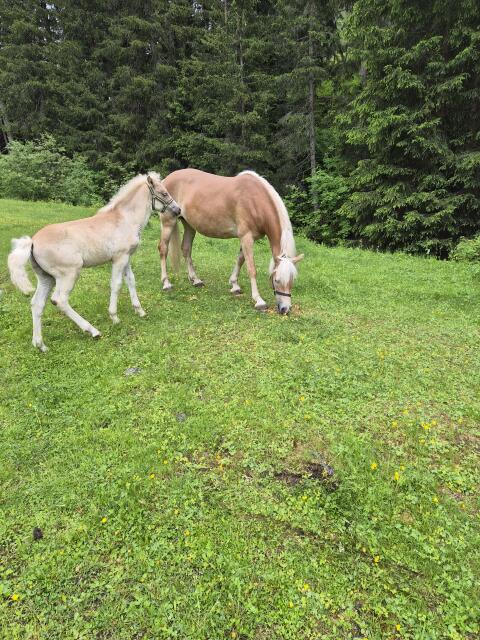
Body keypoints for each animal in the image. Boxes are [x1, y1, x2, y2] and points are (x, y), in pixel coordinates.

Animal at [8, 172, 180, 352]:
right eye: (164, 193)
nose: (178, 210)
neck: (125, 219)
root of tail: (32, 242)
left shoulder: (126, 258)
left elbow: (131, 281)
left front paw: (140, 311)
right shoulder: (119, 258)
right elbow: (117, 284)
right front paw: (114, 317)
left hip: (46, 278)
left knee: (37, 304)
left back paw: (40, 345)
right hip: (69, 273)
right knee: (60, 300)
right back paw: (92, 331)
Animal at [158, 169, 303, 314]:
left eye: (292, 280)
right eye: (277, 280)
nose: (285, 309)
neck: (254, 200)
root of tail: (165, 180)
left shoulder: (247, 238)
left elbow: (240, 260)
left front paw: (234, 285)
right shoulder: (246, 237)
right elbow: (251, 268)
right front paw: (259, 301)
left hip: (189, 225)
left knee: (186, 249)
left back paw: (196, 280)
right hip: (168, 222)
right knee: (163, 248)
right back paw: (166, 283)